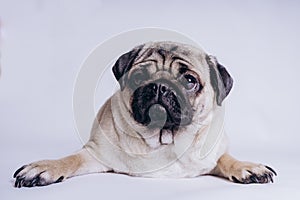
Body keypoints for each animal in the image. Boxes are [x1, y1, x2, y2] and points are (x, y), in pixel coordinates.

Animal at [13, 41, 276, 188]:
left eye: (189, 80)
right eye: (139, 77)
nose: (160, 86)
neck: (164, 138)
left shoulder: (213, 154)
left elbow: (225, 158)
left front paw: (248, 167)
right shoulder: (95, 154)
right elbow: (71, 159)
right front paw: (46, 167)